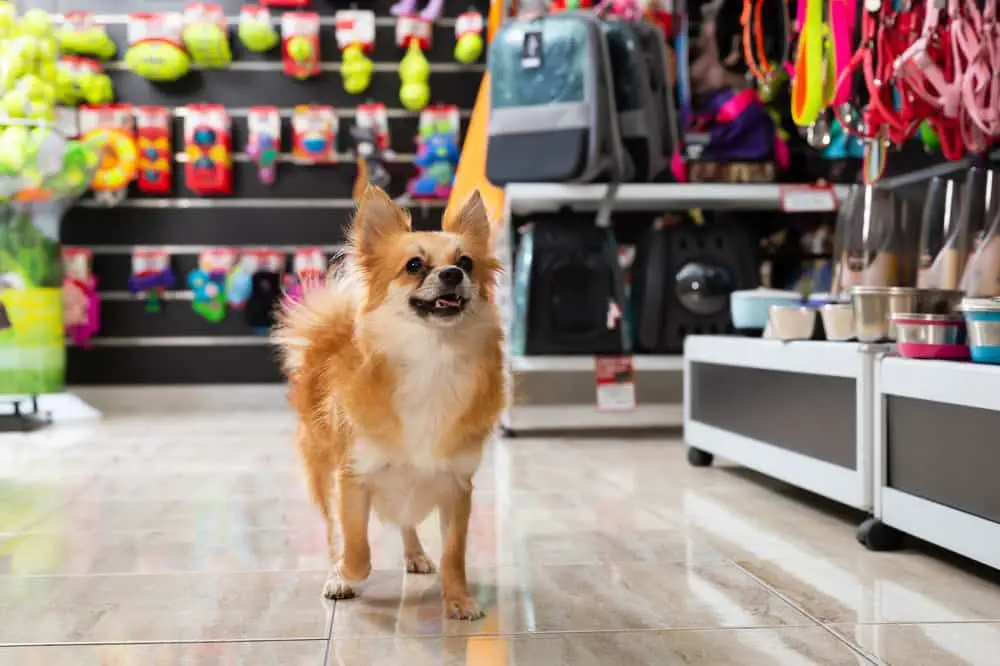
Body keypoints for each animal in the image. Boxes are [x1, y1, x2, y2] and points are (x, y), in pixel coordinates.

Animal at [274, 183, 504, 616]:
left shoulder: (457, 486)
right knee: (334, 532)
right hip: (323, 471)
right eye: (414, 265)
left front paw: (459, 600)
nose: (453, 273)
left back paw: (414, 555)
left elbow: (454, 555)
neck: (433, 357)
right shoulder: (352, 478)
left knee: (407, 521)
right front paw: (343, 576)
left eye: (466, 262)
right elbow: (357, 550)